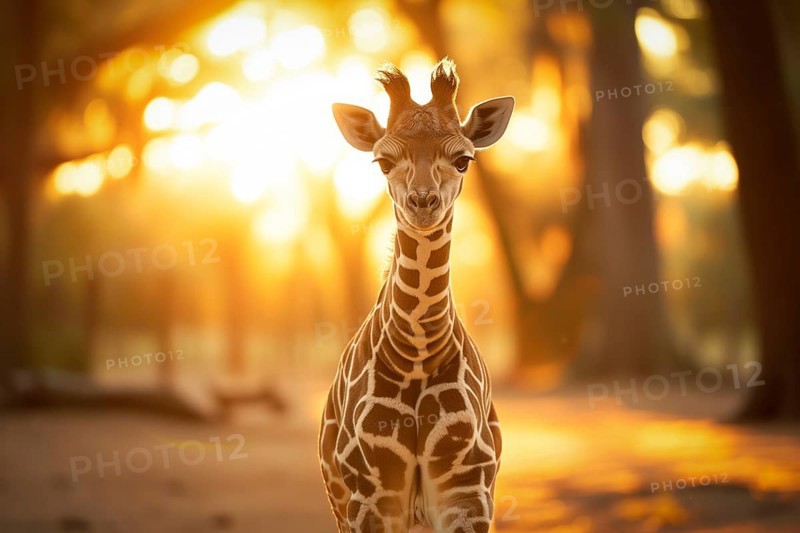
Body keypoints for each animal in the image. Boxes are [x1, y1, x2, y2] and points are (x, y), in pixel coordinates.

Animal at [319, 58, 514, 533]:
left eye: (463, 160)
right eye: (383, 161)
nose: (422, 203)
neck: (416, 350)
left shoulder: (467, 489)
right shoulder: (372, 493)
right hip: (342, 504)